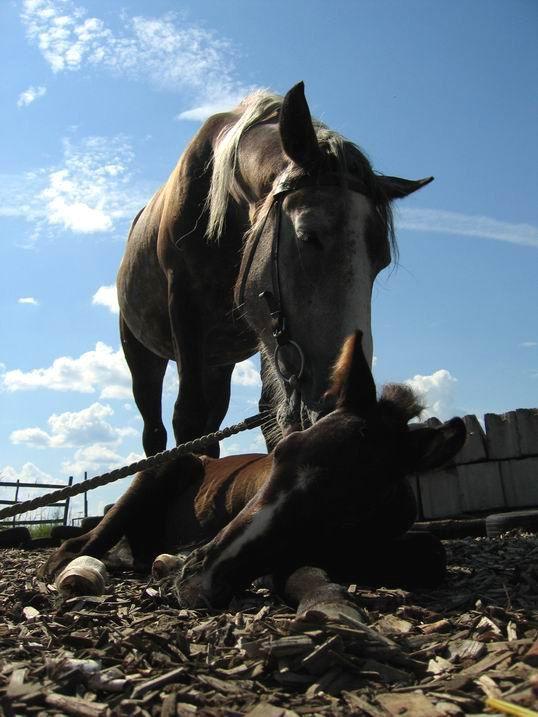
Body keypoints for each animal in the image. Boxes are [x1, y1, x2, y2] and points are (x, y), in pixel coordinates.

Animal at [43, 332, 466, 609]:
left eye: (351, 505)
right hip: (156, 473)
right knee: (79, 545)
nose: (199, 577)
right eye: (280, 453)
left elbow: (431, 553)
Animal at [117, 82, 434, 456]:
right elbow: (188, 416)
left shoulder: (268, 329)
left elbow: (269, 417)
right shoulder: (185, 308)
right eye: (308, 235)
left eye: (380, 260)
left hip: (219, 363)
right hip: (143, 353)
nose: (347, 398)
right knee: (155, 429)